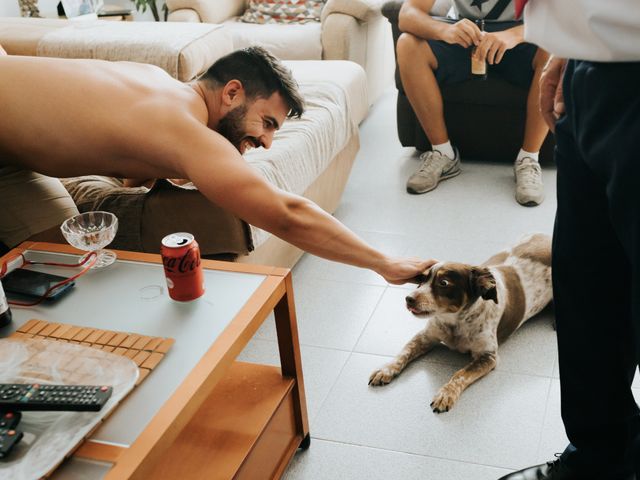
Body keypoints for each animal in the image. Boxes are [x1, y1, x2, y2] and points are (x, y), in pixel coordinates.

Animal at [368, 233, 552, 412]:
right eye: (421, 279)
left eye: (443, 283)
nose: (408, 299)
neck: (455, 322)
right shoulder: (425, 336)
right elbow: (404, 352)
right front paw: (386, 369)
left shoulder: (488, 356)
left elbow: (461, 374)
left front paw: (446, 394)